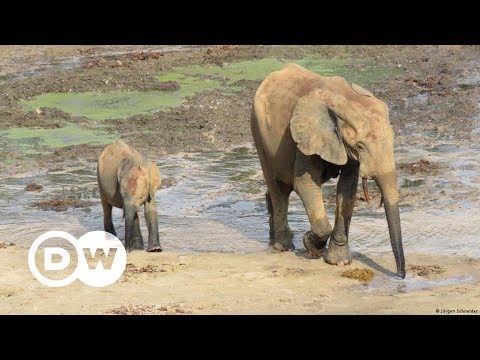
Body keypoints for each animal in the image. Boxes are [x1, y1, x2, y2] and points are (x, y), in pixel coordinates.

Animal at [251, 63, 404, 278]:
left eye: (393, 140)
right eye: (360, 146)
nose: (401, 276)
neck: (347, 99)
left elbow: (347, 189)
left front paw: (339, 262)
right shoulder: (306, 136)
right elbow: (304, 183)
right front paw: (312, 247)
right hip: (258, 131)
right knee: (277, 186)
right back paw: (283, 246)